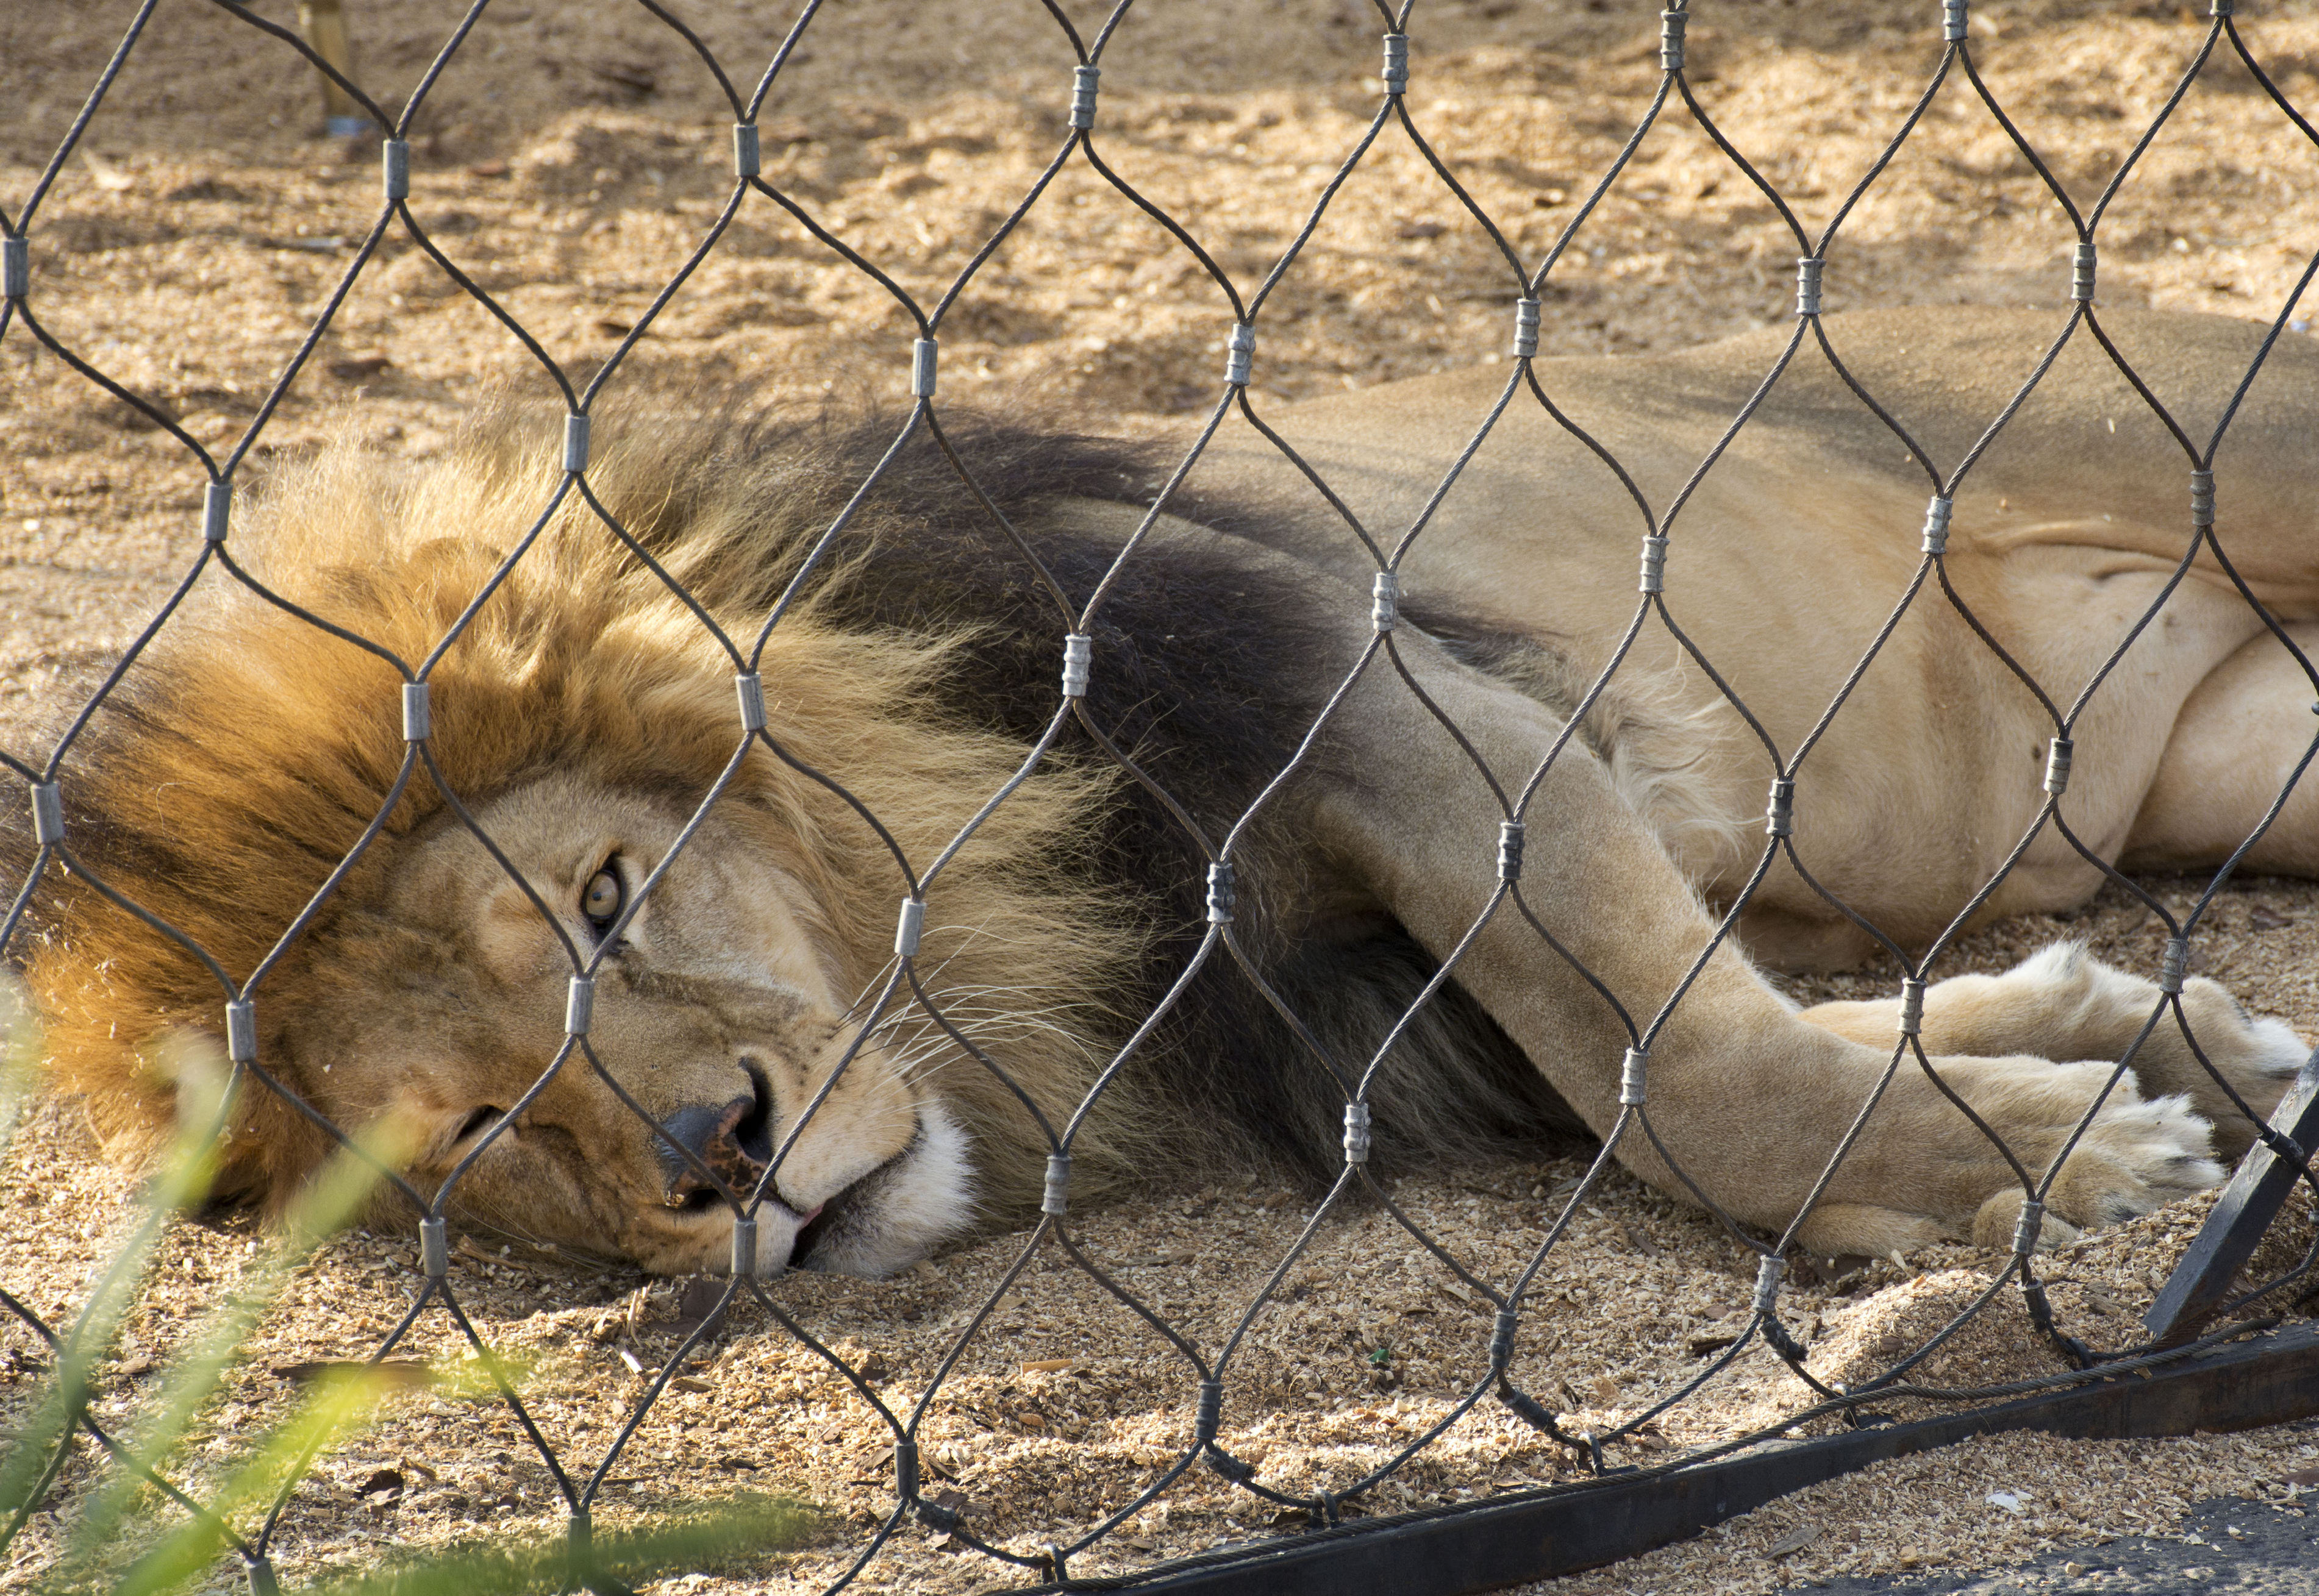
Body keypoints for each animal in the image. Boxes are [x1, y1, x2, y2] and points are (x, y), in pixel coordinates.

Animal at [3, 306, 2310, 1278]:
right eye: (469, 1129)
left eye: (602, 897)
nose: (711, 1155)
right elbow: (1697, 1039)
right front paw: (2122, 1047)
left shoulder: (1367, 695)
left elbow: (1673, 1057)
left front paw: (2055, 1143)